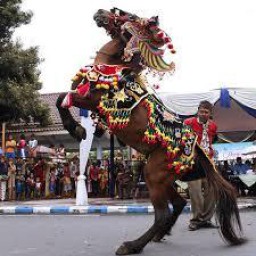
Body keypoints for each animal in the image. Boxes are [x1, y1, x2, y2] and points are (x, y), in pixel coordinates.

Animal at [56, 7, 246, 254]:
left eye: (128, 16)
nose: (100, 12)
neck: (112, 68)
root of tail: (196, 147)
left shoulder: (91, 99)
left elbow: (64, 97)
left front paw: (77, 129)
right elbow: (65, 94)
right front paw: (83, 129)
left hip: (154, 174)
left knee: (163, 213)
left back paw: (132, 245)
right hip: (164, 176)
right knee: (178, 204)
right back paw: (158, 235)